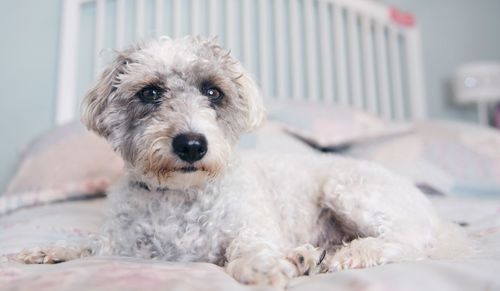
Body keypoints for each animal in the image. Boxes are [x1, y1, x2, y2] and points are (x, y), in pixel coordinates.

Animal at [16, 36, 472, 288]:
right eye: (150, 93)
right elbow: (96, 244)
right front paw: (52, 250)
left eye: (212, 92)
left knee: (407, 242)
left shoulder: (250, 229)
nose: (191, 145)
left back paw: (344, 255)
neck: (181, 196)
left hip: (351, 192)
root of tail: (434, 215)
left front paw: (265, 269)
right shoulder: (126, 243)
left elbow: (250, 251)